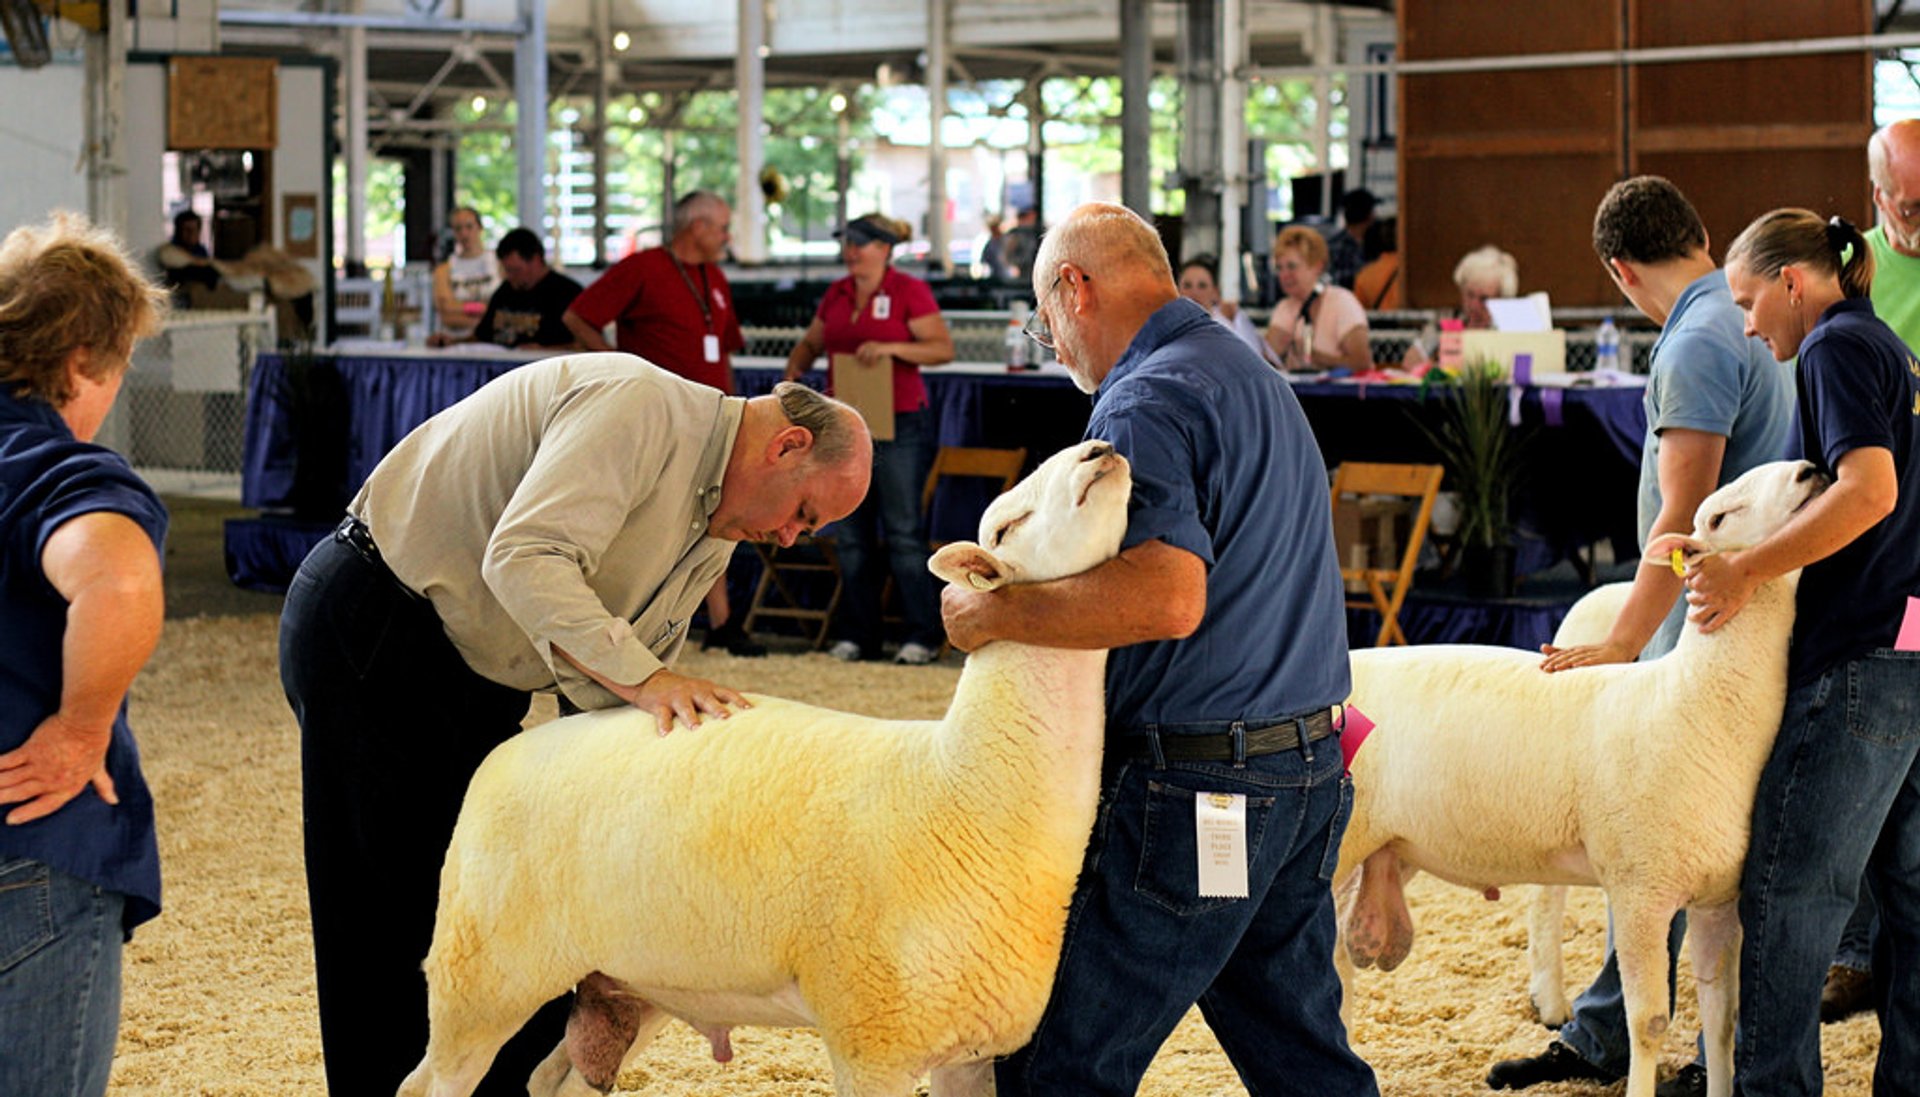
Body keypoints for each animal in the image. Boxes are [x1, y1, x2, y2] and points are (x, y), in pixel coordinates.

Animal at [397, 439, 1128, 1097]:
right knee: (430, 1082)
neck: (960, 785)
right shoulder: (873, 1038)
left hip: (628, 980)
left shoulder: (971, 1049)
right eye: (1006, 527)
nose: (1101, 451)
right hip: (483, 975)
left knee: (555, 1079)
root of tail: (511, 748)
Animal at [1328, 459, 1820, 1097]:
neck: (1692, 699)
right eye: (1718, 517)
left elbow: (1722, 1018)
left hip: (1385, 846)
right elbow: (1650, 1020)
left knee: (1339, 959)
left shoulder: (1718, 895)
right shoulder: (1640, 890)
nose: (1810, 471)